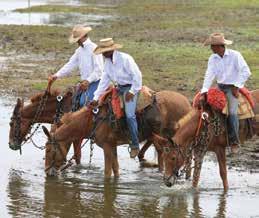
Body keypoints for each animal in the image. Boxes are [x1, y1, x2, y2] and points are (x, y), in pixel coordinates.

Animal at [43, 90, 193, 177]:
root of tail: (187, 103)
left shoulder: (107, 146)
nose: (47, 172)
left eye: (49, 150)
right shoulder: (112, 146)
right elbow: (115, 170)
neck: (94, 120)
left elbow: (107, 172)